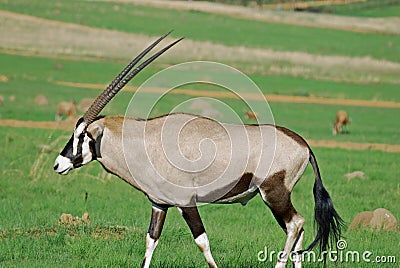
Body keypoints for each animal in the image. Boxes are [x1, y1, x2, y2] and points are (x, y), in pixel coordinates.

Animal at [53, 33, 342, 268]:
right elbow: (150, 241)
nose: (58, 164)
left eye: (82, 135)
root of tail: (304, 145)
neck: (147, 140)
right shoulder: (159, 204)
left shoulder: (186, 203)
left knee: (296, 224)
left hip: (274, 193)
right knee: (298, 229)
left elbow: (202, 241)